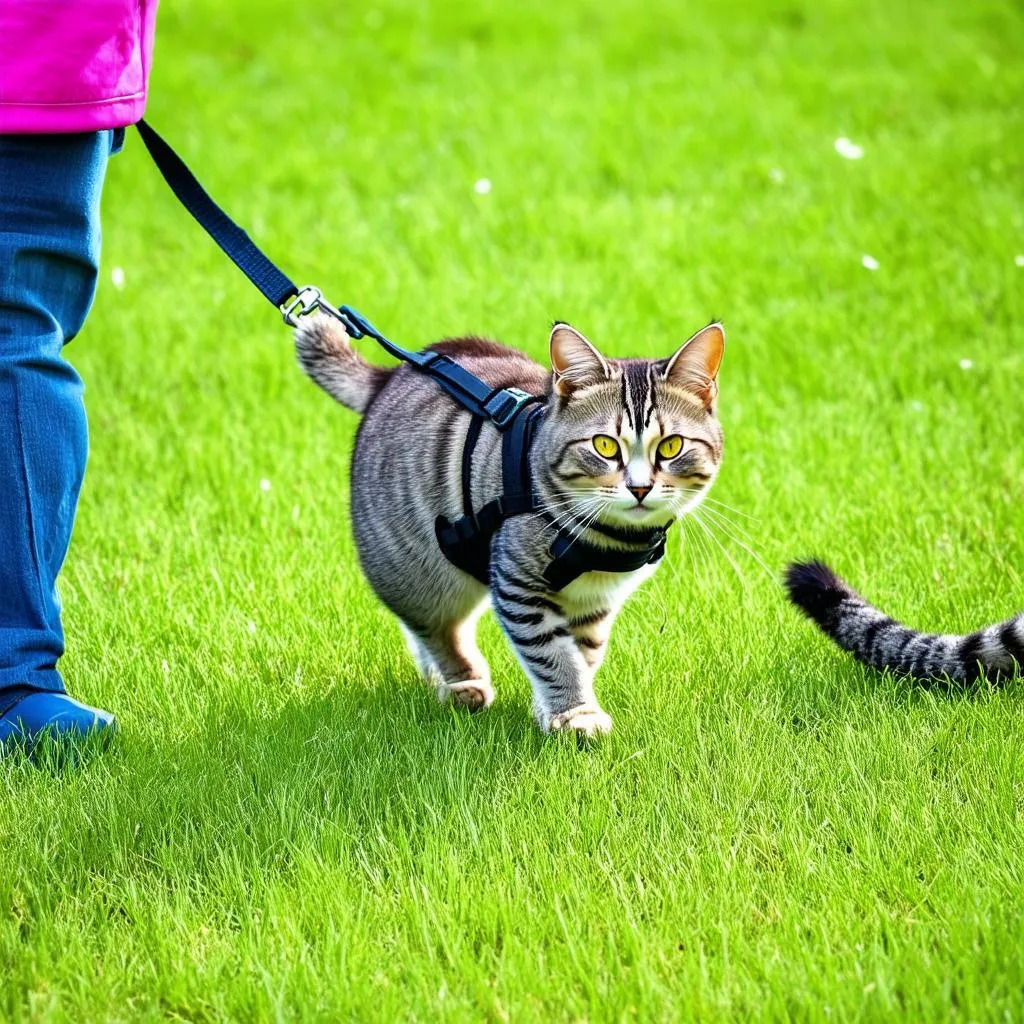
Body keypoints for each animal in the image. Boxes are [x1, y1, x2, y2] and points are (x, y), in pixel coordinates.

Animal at [296, 315, 724, 733]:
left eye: (671, 447)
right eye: (604, 446)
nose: (639, 488)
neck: (607, 541)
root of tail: (388, 377)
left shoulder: (595, 604)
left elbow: (582, 655)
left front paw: (551, 710)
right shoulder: (521, 588)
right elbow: (554, 656)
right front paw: (576, 713)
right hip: (415, 571)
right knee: (437, 629)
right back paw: (462, 684)